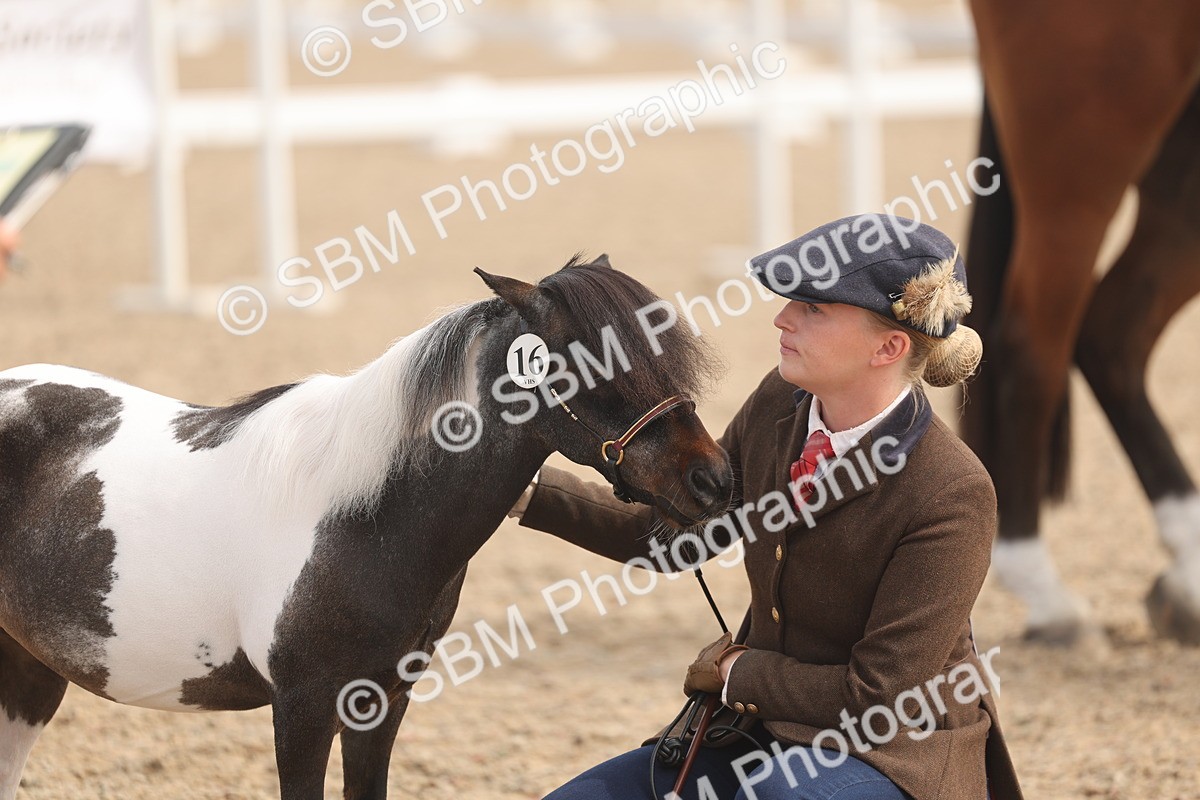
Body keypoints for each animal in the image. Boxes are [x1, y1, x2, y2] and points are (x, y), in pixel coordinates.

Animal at [0, 255, 734, 800]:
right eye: (594, 358)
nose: (715, 480)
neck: (361, 518)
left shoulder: (381, 702)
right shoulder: (302, 707)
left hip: (30, 674)